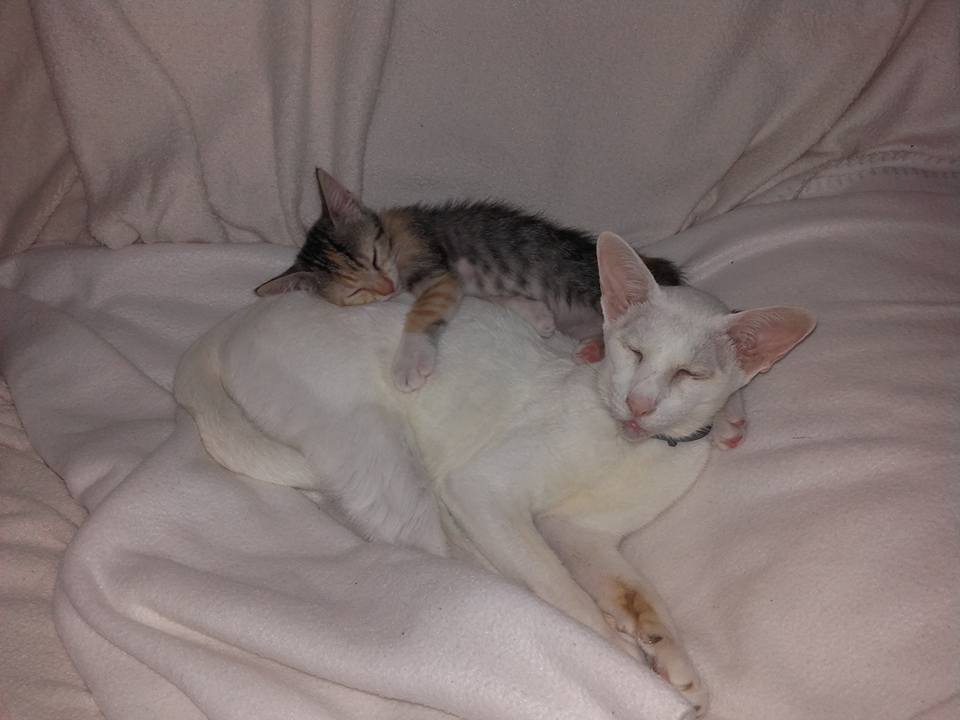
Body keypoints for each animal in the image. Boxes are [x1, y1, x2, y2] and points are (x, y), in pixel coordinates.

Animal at [175, 232, 816, 714]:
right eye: (633, 353)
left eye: (689, 376)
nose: (639, 404)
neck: (628, 447)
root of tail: (229, 325)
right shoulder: (485, 489)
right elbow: (562, 587)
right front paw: (623, 659)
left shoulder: (587, 533)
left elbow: (637, 590)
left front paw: (673, 657)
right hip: (379, 444)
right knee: (431, 541)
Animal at [255, 168, 683, 393]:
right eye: (356, 290)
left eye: (373, 257)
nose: (387, 290)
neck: (391, 237)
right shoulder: (460, 281)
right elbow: (494, 297)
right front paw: (536, 314)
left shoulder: (434, 266)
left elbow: (422, 311)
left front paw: (409, 360)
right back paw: (593, 348)